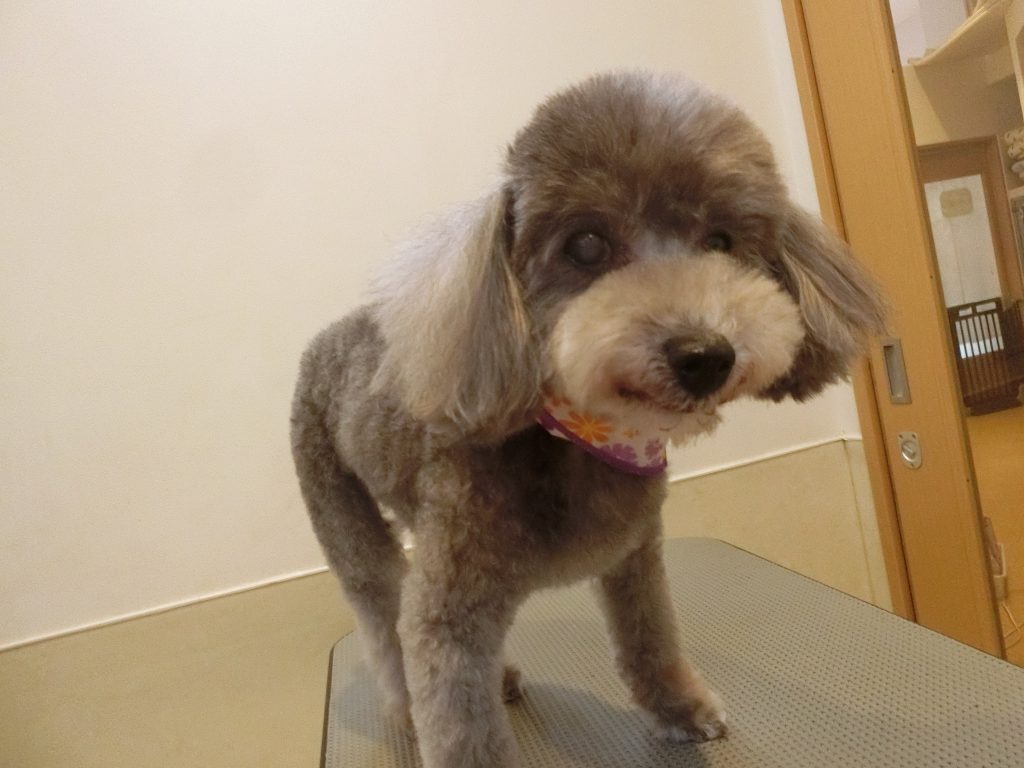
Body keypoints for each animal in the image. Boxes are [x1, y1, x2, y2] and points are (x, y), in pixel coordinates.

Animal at [291, 71, 885, 768]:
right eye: (586, 245)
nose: (704, 355)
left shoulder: (635, 555)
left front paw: (680, 709)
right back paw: (405, 707)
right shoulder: (447, 616)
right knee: (381, 614)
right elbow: (454, 711)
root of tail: (329, 335)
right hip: (339, 507)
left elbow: (650, 639)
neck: (585, 438)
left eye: (721, 242)